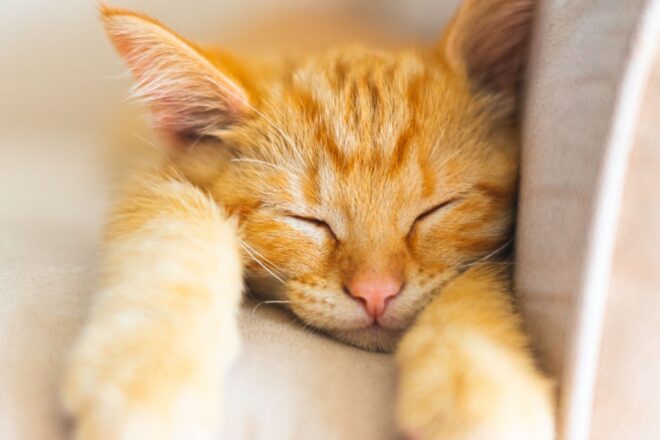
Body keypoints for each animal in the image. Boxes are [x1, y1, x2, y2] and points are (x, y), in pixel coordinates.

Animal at [63, 1, 556, 438]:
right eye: (307, 220)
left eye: (435, 210)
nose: (375, 293)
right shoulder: (153, 173)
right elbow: (174, 232)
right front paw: (145, 380)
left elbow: (477, 284)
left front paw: (474, 387)